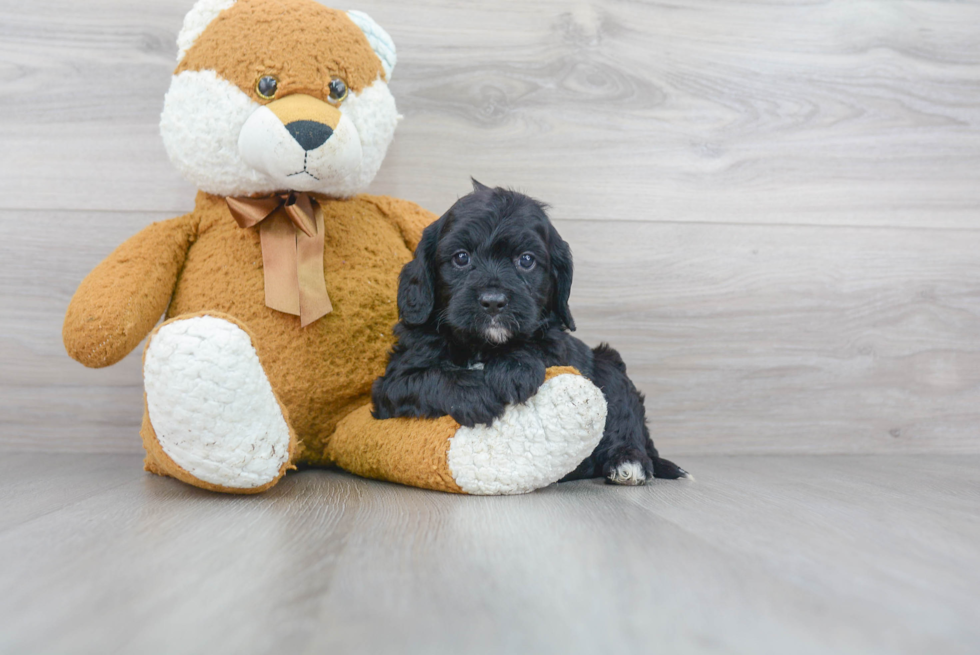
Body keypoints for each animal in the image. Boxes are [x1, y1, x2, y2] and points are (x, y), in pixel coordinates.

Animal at [372, 182, 684, 484]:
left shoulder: (558, 343)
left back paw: (629, 461)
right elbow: (428, 377)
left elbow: (538, 344)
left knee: (627, 415)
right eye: (461, 258)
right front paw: (476, 394)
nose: (493, 301)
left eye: (526, 260)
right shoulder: (391, 384)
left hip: (609, 364)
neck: (482, 345)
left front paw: (513, 368)